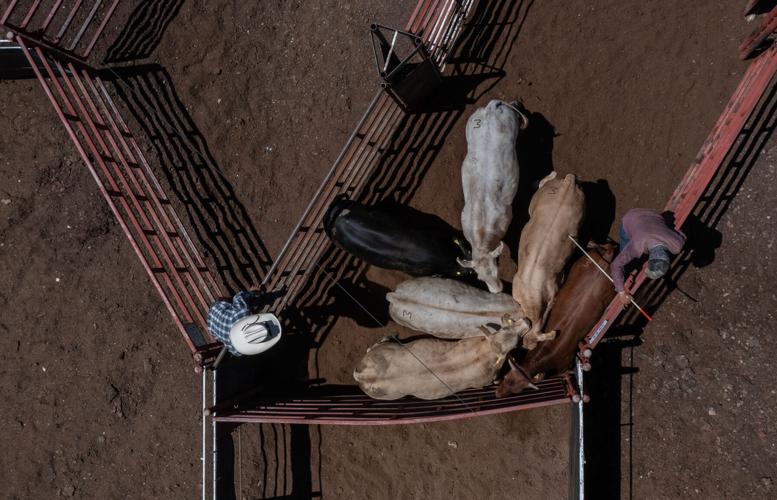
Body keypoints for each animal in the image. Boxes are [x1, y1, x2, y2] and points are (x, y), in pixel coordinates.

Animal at [354, 315, 530, 400]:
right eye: (517, 343)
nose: (528, 321)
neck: (486, 353)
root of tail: (362, 375)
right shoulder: (481, 382)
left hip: (383, 350)